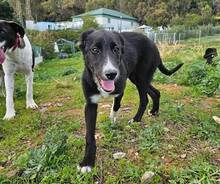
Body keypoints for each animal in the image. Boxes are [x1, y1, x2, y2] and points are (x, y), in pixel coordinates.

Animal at [78, 28, 183, 172]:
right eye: (94, 50)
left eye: (116, 49)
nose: (111, 74)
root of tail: (153, 43)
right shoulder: (90, 104)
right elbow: (89, 135)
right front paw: (87, 161)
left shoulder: (120, 91)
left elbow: (116, 106)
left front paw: (112, 121)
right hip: (138, 78)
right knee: (156, 92)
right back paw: (154, 111)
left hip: (141, 78)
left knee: (144, 99)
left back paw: (136, 119)